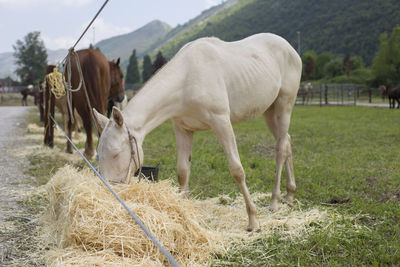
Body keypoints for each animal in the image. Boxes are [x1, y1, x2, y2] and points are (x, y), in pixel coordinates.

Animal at [93, 32, 300, 231]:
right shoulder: (182, 129)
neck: (187, 78)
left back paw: (275, 202)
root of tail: (291, 49)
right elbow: (183, 171)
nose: (109, 192)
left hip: (284, 105)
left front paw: (253, 220)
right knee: (287, 141)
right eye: (98, 155)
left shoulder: (221, 122)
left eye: (116, 154)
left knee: (281, 149)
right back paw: (289, 195)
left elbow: (237, 170)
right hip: (269, 111)